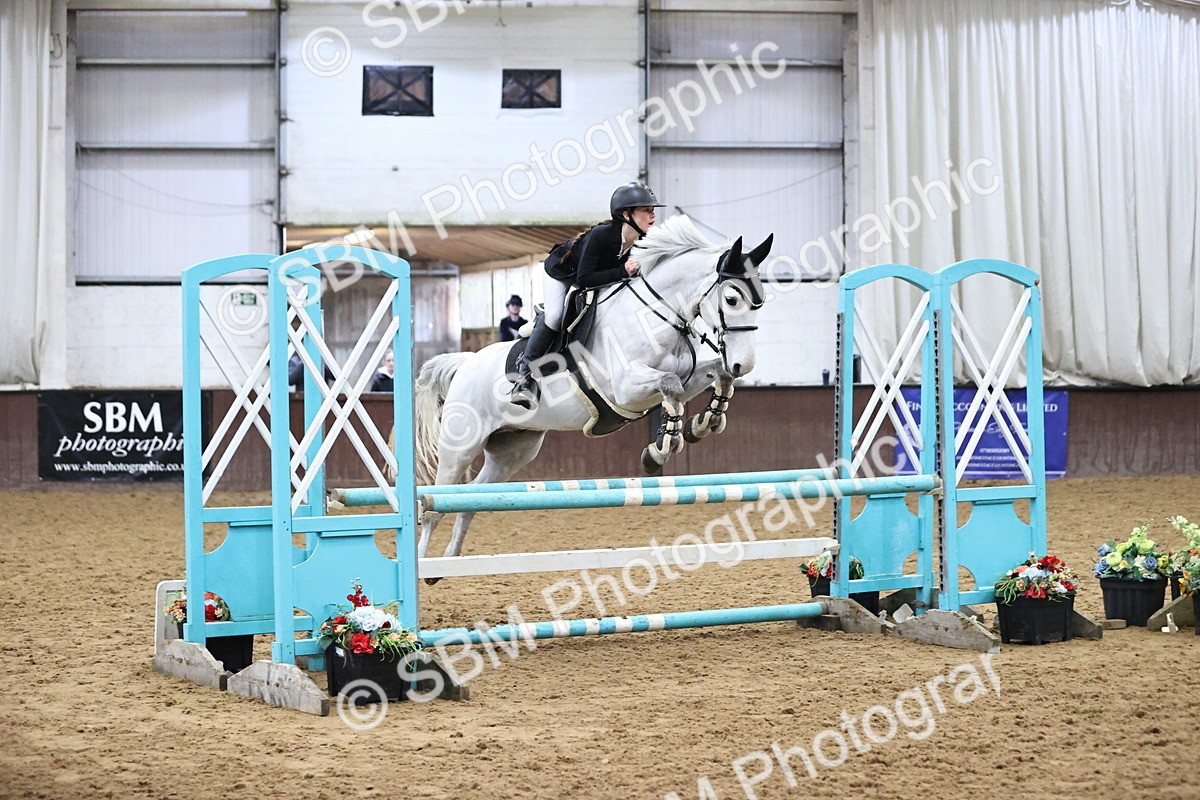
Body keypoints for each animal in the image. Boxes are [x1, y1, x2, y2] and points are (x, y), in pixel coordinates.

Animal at [412, 215, 773, 559]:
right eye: (731, 298)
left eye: (761, 301)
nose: (744, 365)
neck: (655, 314)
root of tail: (465, 363)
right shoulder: (625, 389)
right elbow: (669, 386)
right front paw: (661, 448)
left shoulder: (687, 376)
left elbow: (715, 376)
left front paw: (703, 423)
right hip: (459, 447)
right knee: (434, 507)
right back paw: (425, 566)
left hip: (512, 451)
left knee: (470, 500)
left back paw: (448, 562)